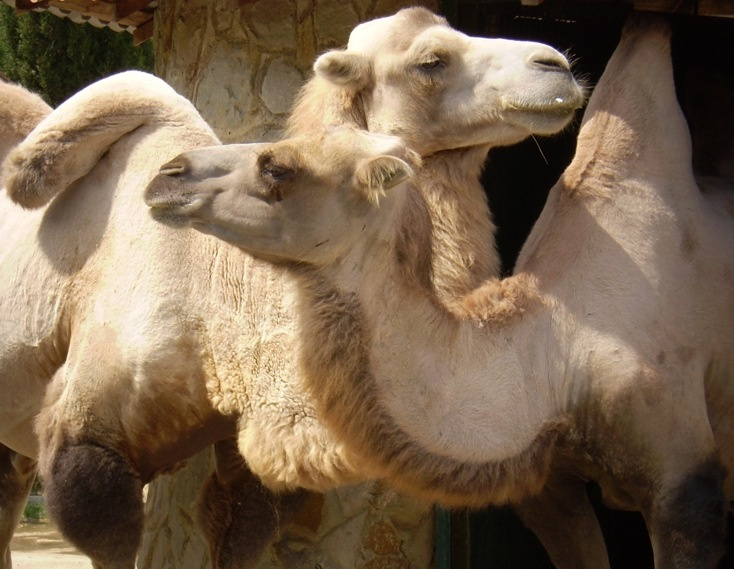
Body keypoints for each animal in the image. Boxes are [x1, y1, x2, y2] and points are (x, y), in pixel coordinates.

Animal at [0, 8, 583, 568]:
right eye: (431, 61)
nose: (557, 63)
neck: (215, 295)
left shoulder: (248, 463)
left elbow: (238, 529)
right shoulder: (86, 437)